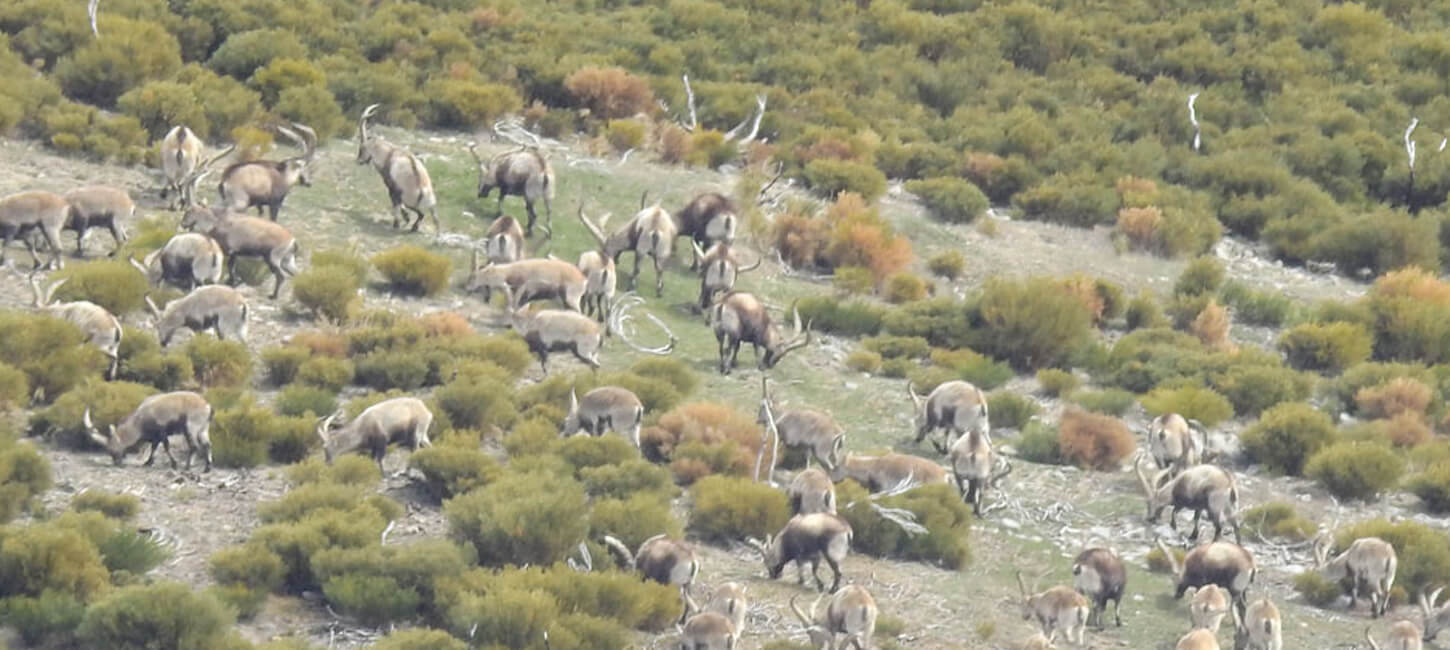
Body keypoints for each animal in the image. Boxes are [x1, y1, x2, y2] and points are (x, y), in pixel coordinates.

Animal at [83, 392, 212, 471]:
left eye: (112, 450)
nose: (117, 463)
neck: (139, 420)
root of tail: (207, 406)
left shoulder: (161, 432)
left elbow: (166, 447)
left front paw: (174, 464)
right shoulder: (155, 437)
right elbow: (154, 448)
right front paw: (148, 462)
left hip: (190, 427)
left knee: (194, 446)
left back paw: (187, 467)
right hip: (203, 429)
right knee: (207, 444)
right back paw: (207, 468)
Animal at [356, 104, 439, 234]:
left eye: (361, 148)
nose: (358, 161)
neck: (389, 154)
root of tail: (423, 193)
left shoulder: (392, 188)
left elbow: (396, 205)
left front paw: (398, 222)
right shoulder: (397, 192)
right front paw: (405, 218)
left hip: (409, 201)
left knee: (420, 213)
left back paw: (408, 226)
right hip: (424, 204)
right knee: (426, 216)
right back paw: (415, 228)